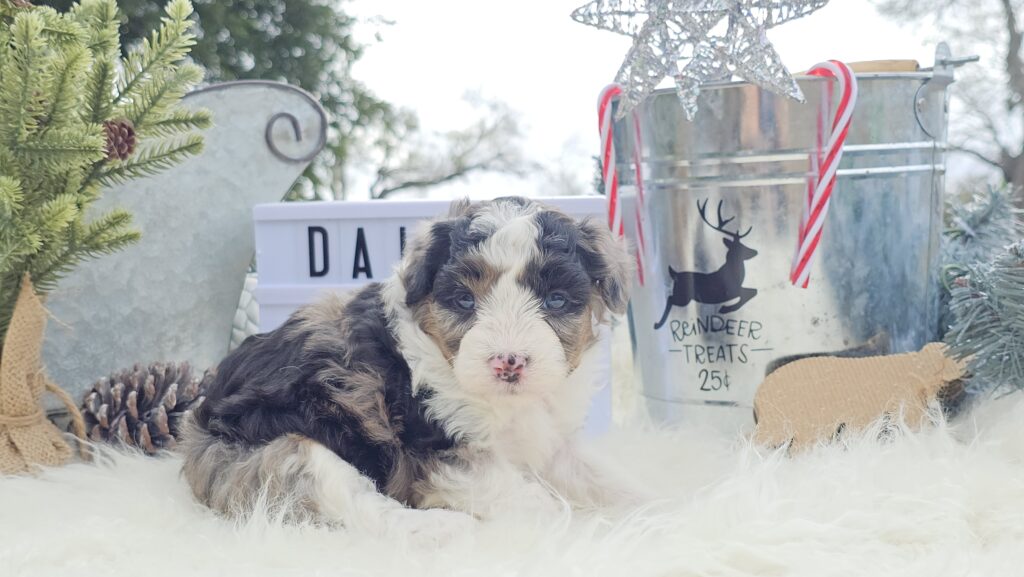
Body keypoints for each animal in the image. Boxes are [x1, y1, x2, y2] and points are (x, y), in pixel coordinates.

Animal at [180, 195, 634, 537]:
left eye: (556, 299)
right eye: (465, 300)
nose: (509, 362)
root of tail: (195, 423)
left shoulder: (551, 441)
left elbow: (597, 477)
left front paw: (641, 510)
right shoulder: (438, 453)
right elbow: (527, 497)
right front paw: (576, 526)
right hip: (284, 452)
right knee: (361, 505)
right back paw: (442, 530)